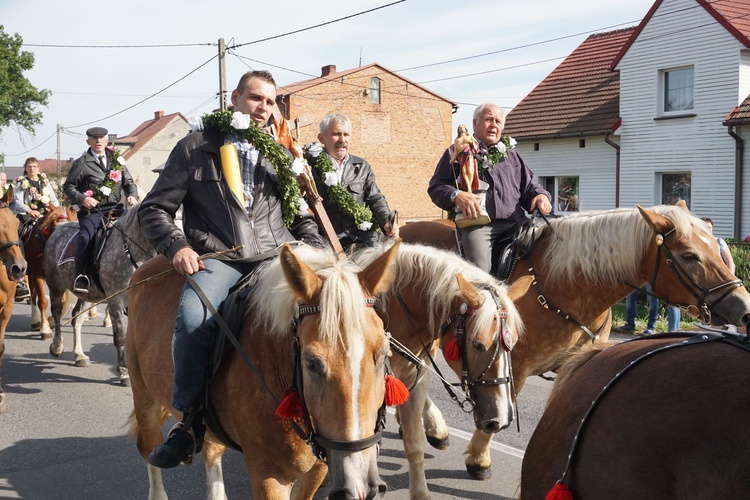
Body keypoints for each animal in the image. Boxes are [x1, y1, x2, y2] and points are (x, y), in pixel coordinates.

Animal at [20, 204, 76, 340]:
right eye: (56, 229)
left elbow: (61, 302)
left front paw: (51, 323)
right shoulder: (38, 275)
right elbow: (43, 302)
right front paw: (45, 329)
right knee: (33, 296)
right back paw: (36, 321)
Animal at [44, 205, 156, 384]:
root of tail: (59, 228)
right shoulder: (116, 301)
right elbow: (120, 336)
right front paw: (124, 371)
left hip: (88, 295)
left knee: (77, 318)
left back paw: (80, 355)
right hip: (55, 285)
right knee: (56, 312)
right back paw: (57, 346)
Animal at [402, 205, 750, 478]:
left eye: (717, 248)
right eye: (689, 256)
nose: (743, 308)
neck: (564, 286)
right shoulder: (513, 365)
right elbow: (499, 411)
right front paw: (479, 458)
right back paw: (434, 427)